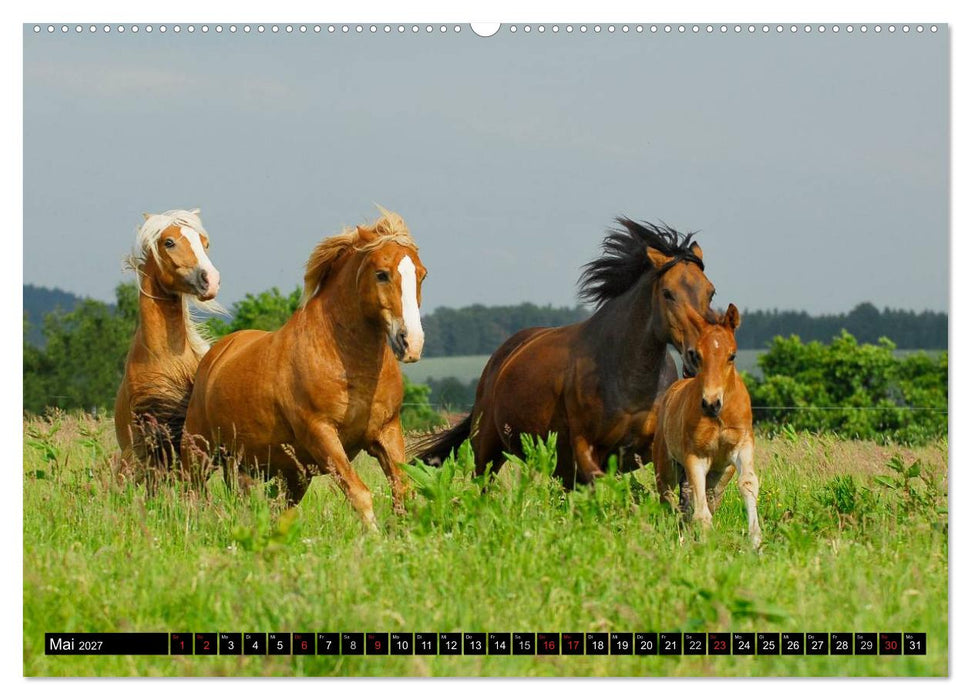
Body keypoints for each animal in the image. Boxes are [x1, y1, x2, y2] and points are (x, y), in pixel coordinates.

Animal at [181, 209, 426, 530]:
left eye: (421, 274)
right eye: (382, 274)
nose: (411, 343)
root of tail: (214, 356)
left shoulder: (387, 431)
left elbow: (403, 490)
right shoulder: (321, 433)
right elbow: (359, 493)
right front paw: (374, 537)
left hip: (272, 470)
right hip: (199, 452)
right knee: (192, 495)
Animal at [411, 218, 717, 487]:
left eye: (710, 291)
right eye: (667, 293)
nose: (697, 355)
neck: (627, 375)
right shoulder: (586, 446)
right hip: (488, 449)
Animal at [651, 303, 761, 547]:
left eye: (732, 355)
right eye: (697, 354)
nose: (711, 403)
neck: (719, 416)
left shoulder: (742, 446)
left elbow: (748, 484)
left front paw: (756, 541)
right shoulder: (696, 456)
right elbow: (700, 510)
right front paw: (706, 543)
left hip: (721, 474)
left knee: (705, 499)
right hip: (666, 466)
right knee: (668, 498)